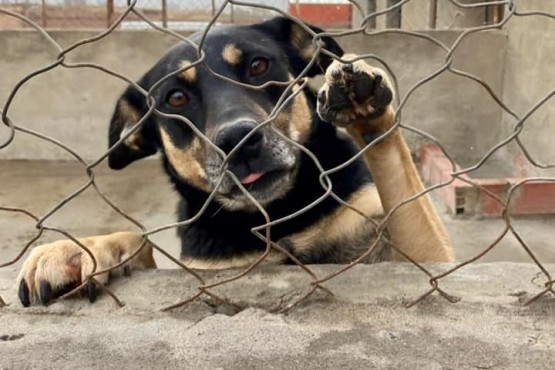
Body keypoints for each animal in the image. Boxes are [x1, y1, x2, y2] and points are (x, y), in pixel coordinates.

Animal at [17, 16, 454, 306]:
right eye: (176, 98)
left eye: (258, 65)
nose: (238, 141)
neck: (279, 214)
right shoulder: (208, 271)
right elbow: (140, 241)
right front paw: (79, 250)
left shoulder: (427, 258)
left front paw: (365, 107)